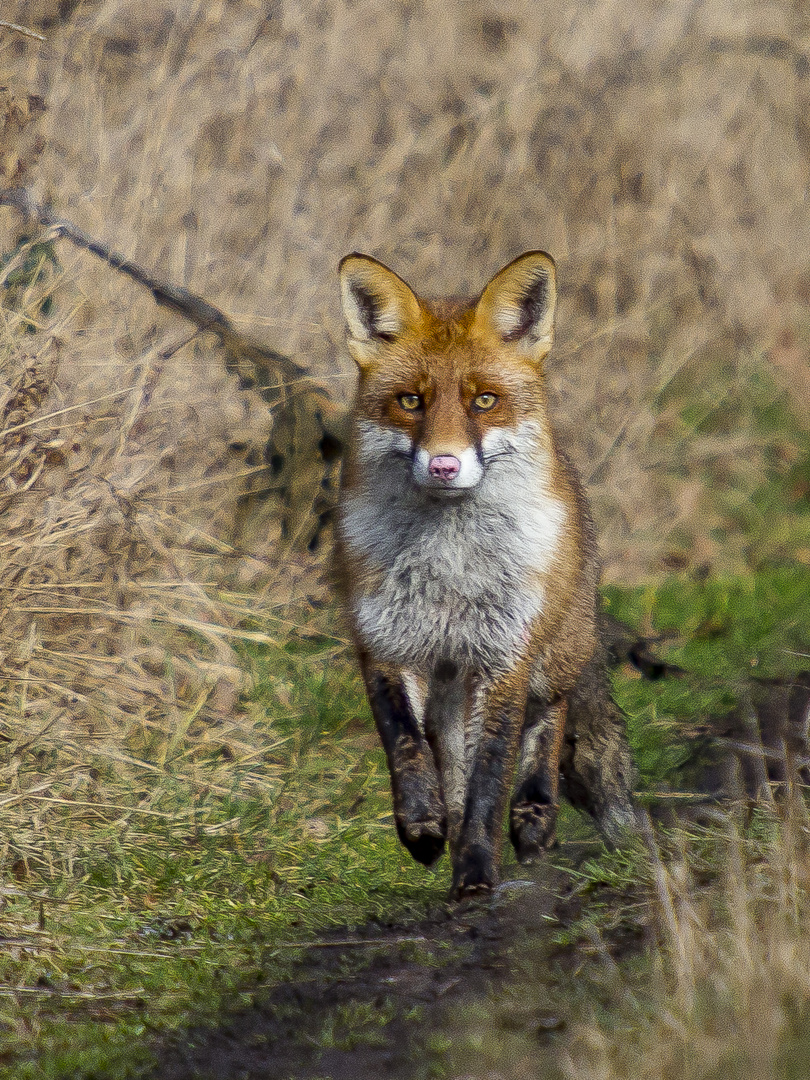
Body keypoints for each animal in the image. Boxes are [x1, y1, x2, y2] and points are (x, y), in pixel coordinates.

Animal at [334, 248, 635, 898]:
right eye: (411, 402)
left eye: (484, 401)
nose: (444, 465)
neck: (450, 569)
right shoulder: (383, 644)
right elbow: (406, 746)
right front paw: (422, 826)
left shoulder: (505, 660)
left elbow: (490, 780)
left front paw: (476, 872)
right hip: (451, 680)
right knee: (447, 752)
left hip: (554, 655)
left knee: (550, 722)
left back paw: (535, 816)